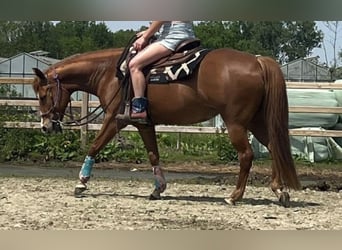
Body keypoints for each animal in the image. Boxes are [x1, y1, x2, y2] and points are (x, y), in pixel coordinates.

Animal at [31, 47, 300, 207]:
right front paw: (158, 189)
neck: (112, 73)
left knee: (246, 155)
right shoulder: (144, 123)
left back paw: (234, 196)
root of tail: (257, 61)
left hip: (236, 122)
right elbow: (153, 154)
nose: (46, 127)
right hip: (255, 121)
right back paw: (279, 191)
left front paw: (81, 183)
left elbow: (95, 147)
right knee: (274, 148)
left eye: (43, 95)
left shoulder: (115, 119)